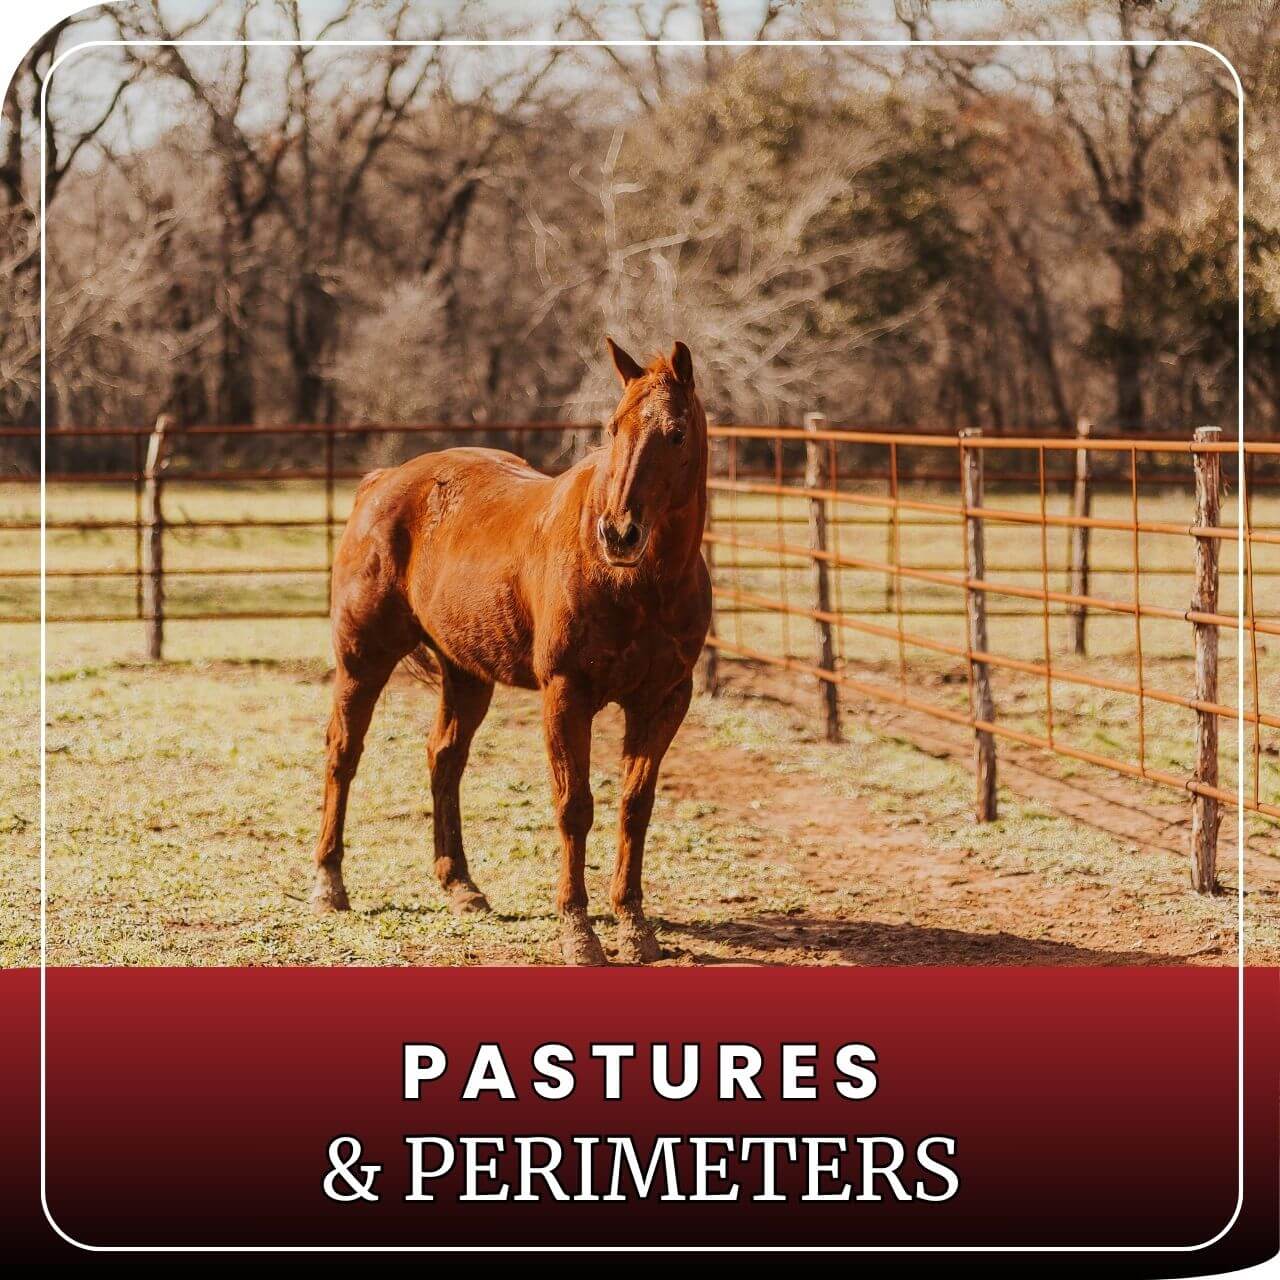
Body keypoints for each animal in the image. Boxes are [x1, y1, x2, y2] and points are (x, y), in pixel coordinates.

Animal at [310, 338, 711, 965]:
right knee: (343, 754)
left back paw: (460, 885)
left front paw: (634, 926)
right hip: (362, 660)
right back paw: (330, 883)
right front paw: (578, 932)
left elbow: (634, 807)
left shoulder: (664, 700)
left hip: (466, 673)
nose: (618, 534)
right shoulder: (567, 696)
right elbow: (574, 807)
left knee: (444, 759)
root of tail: (382, 481)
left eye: (675, 433)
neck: (641, 585)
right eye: (613, 428)